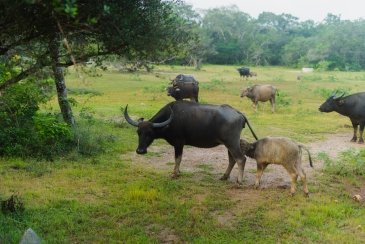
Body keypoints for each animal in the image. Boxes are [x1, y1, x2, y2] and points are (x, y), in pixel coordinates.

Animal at [123, 100, 258, 184]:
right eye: (138, 132)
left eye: (150, 133)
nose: (140, 150)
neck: (169, 121)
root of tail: (238, 113)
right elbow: (179, 159)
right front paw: (178, 171)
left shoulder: (178, 143)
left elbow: (177, 158)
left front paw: (174, 173)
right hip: (229, 144)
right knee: (232, 159)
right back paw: (224, 176)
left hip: (232, 143)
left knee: (240, 159)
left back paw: (239, 181)